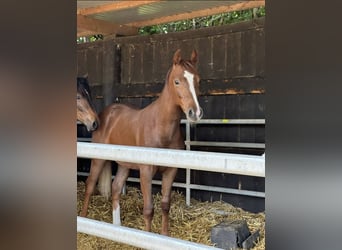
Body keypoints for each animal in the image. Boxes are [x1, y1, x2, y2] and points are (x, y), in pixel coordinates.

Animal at [80, 49, 203, 236]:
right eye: (177, 81)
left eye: (197, 80)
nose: (195, 113)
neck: (161, 126)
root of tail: (103, 116)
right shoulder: (146, 171)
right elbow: (149, 209)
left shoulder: (171, 171)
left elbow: (165, 205)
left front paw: (165, 236)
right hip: (98, 160)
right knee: (90, 185)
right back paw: (85, 219)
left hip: (124, 165)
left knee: (116, 188)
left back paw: (117, 227)